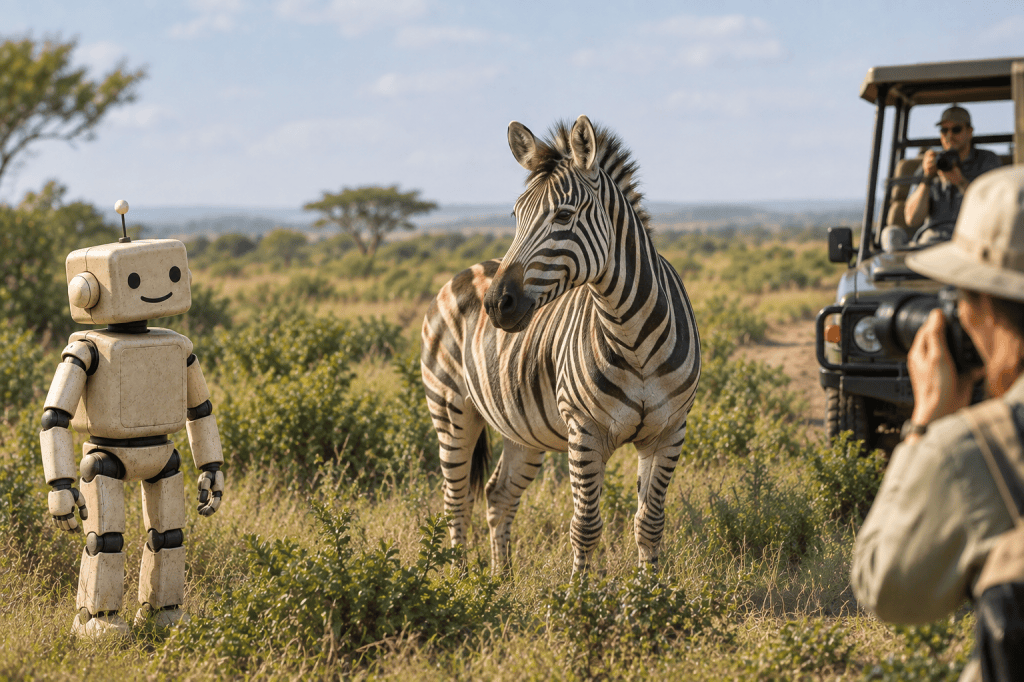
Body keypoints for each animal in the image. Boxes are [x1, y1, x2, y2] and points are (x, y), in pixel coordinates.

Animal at [420, 115, 701, 575]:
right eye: (516, 215)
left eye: (564, 215)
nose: (496, 304)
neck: (632, 336)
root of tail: (463, 272)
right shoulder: (584, 431)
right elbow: (584, 526)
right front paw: (579, 594)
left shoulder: (670, 430)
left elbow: (649, 523)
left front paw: (653, 591)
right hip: (449, 408)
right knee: (455, 501)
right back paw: (460, 582)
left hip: (522, 427)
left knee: (498, 494)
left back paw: (499, 580)